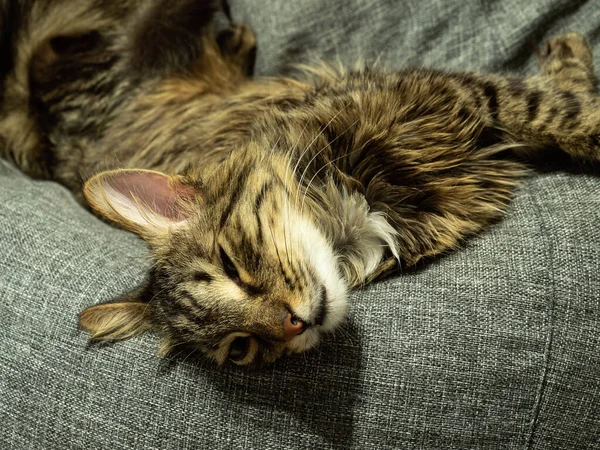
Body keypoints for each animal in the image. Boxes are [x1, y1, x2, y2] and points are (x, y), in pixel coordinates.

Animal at [1, 0, 600, 366]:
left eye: (232, 266)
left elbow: (566, 111)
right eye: (240, 347)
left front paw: (571, 57)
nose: (293, 324)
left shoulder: (455, 93)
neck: (354, 210)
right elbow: (561, 107)